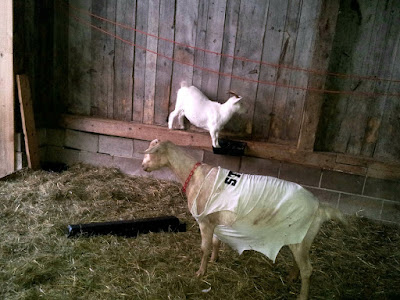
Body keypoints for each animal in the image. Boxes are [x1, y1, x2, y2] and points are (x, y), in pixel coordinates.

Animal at [141, 139, 346, 300]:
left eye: (153, 152)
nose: (143, 167)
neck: (194, 177)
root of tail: (320, 207)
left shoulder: (205, 221)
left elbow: (204, 248)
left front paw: (201, 272)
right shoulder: (215, 220)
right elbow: (215, 242)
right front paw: (215, 260)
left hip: (301, 237)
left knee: (307, 269)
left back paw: (302, 295)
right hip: (299, 237)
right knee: (299, 262)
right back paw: (291, 278)